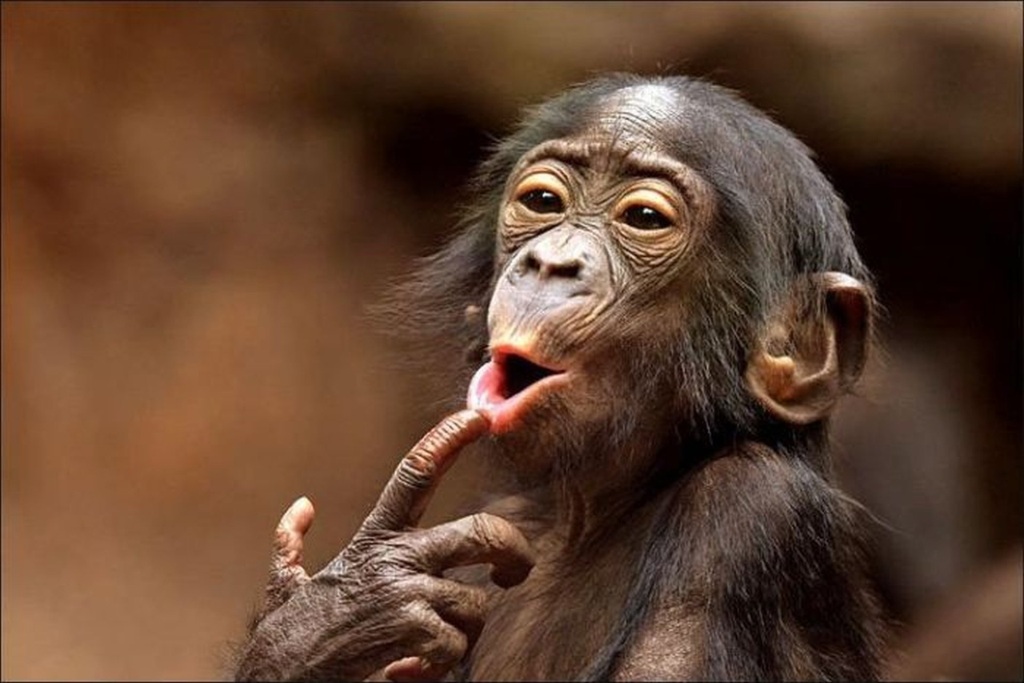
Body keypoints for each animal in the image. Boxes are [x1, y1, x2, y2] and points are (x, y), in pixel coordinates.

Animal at [232, 73, 890, 681]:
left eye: (644, 218)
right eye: (544, 202)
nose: (551, 262)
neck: (591, 516)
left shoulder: (749, 515)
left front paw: (359, 601)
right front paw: (331, 614)